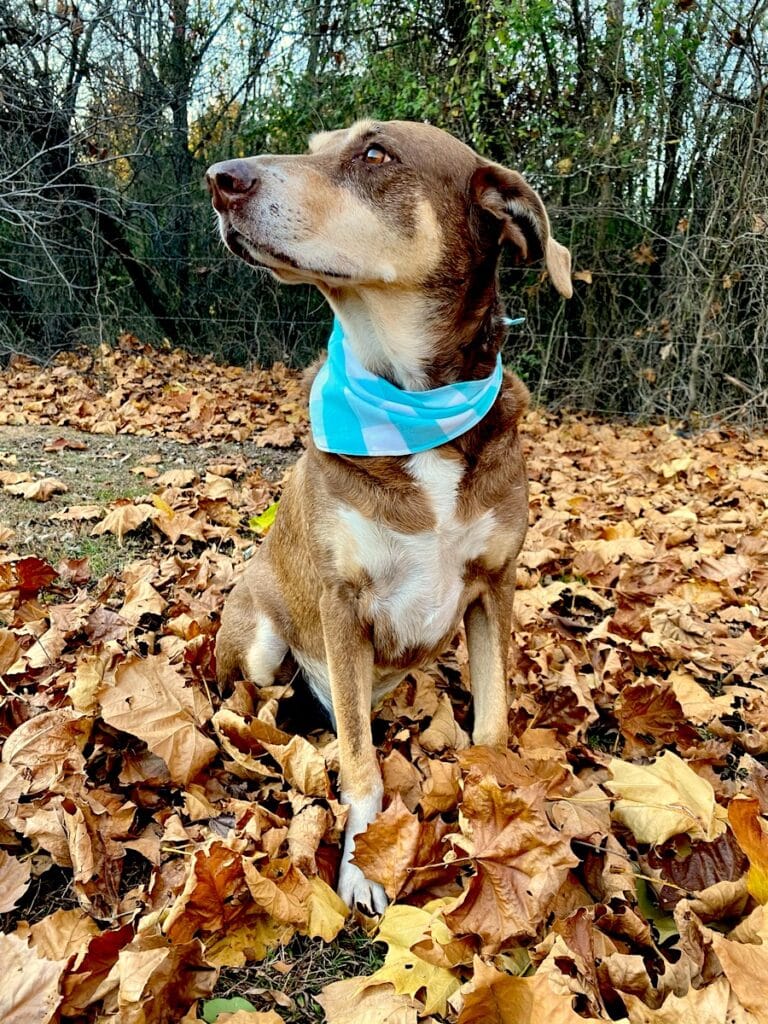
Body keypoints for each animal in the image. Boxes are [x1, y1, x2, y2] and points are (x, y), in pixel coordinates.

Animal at [205, 119, 573, 913]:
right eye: (315, 145)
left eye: (375, 153)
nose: (221, 177)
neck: (414, 411)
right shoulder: (342, 603)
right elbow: (361, 765)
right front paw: (363, 865)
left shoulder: (494, 585)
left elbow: (492, 719)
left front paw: (497, 815)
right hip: (263, 641)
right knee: (263, 697)